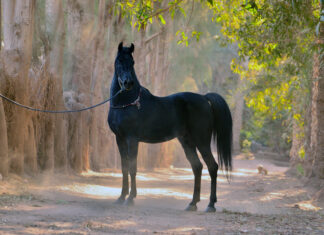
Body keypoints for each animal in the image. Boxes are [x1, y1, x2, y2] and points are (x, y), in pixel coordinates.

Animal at [109, 42, 233, 213]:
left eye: (132, 62)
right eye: (119, 61)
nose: (128, 83)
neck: (126, 103)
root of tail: (204, 97)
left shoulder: (132, 140)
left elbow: (133, 168)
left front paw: (130, 198)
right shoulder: (119, 139)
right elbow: (124, 168)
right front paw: (121, 197)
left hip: (202, 141)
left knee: (212, 166)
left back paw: (210, 205)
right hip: (187, 141)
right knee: (197, 167)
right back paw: (192, 203)